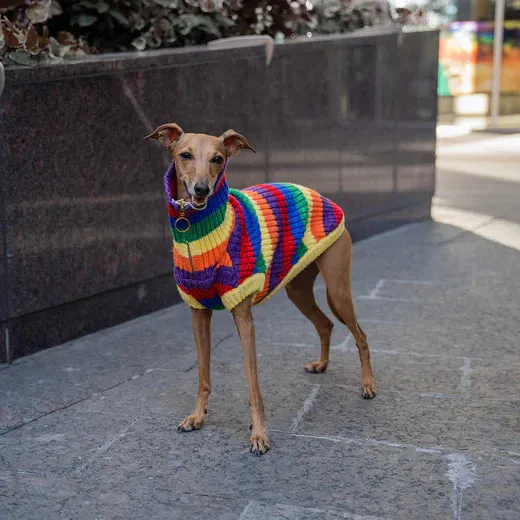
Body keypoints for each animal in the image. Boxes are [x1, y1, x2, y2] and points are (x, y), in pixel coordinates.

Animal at [147, 125, 378, 456]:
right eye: (185, 155)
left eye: (218, 159)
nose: (201, 190)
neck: (197, 232)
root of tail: (323, 197)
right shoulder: (198, 314)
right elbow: (203, 376)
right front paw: (197, 416)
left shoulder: (243, 316)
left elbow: (253, 386)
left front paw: (259, 434)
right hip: (298, 291)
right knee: (325, 324)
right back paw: (322, 364)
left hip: (337, 291)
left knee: (360, 335)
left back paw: (368, 384)